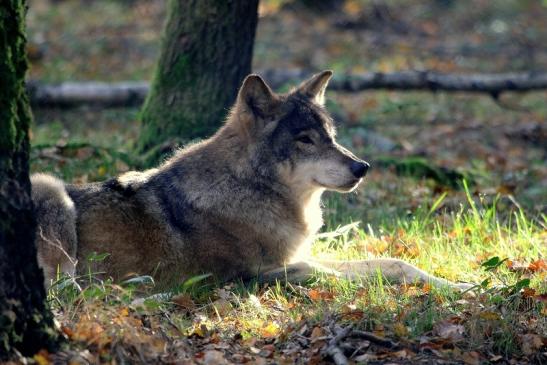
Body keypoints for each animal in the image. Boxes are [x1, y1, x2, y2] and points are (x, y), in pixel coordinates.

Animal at [32, 70, 474, 290]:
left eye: (331, 136)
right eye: (304, 140)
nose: (361, 167)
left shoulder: (294, 257)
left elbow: (394, 264)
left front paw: (463, 288)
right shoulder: (253, 274)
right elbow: (326, 273)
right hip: (49, 187)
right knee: (65, 292)